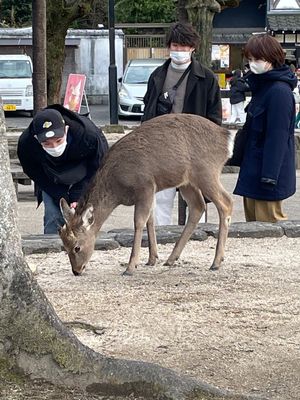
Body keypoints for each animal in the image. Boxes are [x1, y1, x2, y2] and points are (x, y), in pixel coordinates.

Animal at [58, 112, 234, 276]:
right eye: (64, 245)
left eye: (77, 247)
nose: (76, 270)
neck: (117, 189)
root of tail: (227, 139)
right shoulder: (151, 191)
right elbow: (151, 219)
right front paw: (152, 259)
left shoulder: (145, 186)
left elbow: (139, 222)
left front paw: (130, 267)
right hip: (187, 182)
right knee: (198, 206)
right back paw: (171, 259)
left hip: (206, 172)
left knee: (226, 203)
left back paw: (216, 262)